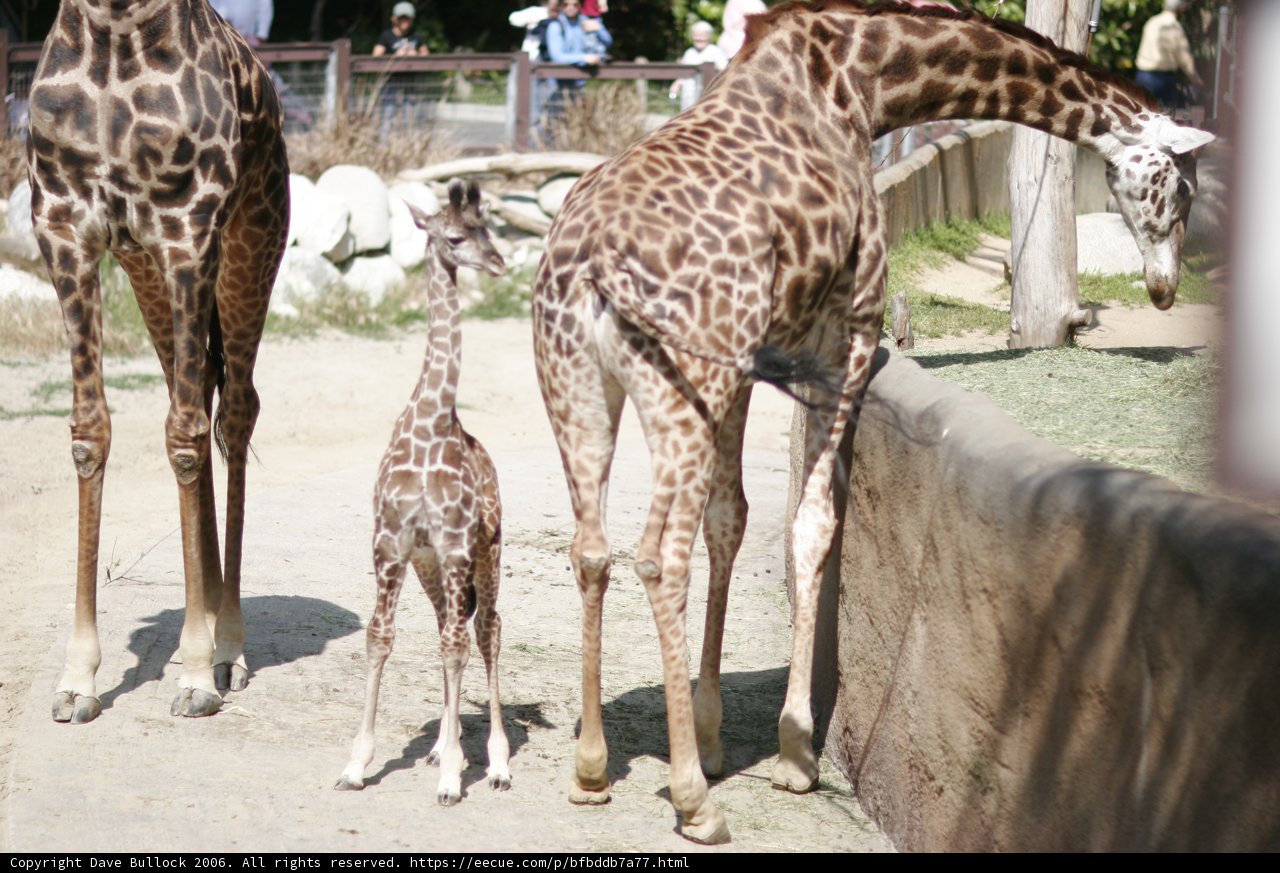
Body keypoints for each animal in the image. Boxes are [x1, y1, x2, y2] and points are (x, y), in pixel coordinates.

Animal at [27, 0, 289, 721]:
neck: (116, 30)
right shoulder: (66, 231)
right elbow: (92, 432)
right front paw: (78, 679)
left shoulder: (187, 233)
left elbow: (189, 438)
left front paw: (198, 673)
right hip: (146, 273)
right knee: (192, 403)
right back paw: (204, 630)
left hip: (250, 248)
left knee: (233, 414)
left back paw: (226, 648)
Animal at [335, 180, 511, 805]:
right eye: (455, 237)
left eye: (489, 228)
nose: (500, 262)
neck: (432, 424)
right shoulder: (391, 542)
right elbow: (378, 637)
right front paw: (356, 764)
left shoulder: (457, 544)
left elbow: (460, 644)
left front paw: (454, 777)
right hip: (429, 564)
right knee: (447, 628)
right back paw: (442, 744)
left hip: (486, 553)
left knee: (485, 630)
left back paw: (495, 763)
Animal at [531, 0, 1214, 844]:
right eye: (1182, 190)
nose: (1164, 288)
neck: (865, 80)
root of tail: (591, 267)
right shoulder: (846, 332)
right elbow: (813, 520)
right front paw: (795, 750)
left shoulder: (748, 362)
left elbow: (733, 519)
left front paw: (717, 732)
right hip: (674, 386)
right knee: (657, 554)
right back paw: (694, 799)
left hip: (579, 385)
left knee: (591, 547)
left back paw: (592, 767)